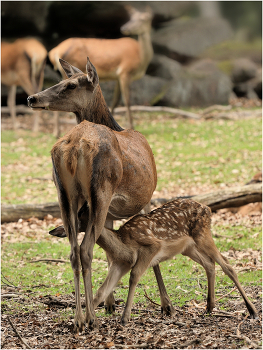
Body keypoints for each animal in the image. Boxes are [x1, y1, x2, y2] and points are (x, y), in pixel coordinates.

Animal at [27, 58, 175, 332]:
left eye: (70, 84)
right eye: (62, 80)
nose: (32, 98)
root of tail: (74, 146)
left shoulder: (108, 212)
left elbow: (109, 250)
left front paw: (110, 303)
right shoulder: (147, 197)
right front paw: (166, 305)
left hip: (64, 194)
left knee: (73, 250)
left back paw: (77, 318)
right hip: (101, 189)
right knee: (85, 249)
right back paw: (89, 318)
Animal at [93, 198, 260, 326]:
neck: (122, 242)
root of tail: (207, 208)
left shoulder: (152, 247)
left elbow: (134, 276)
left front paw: (124, 318)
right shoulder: (120, 263)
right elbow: (101, 290)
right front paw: (87, 320)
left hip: (202, 234)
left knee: (227, 265)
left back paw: (252, 311)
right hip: (188, 247)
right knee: (209, 264)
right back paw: (209, 307)